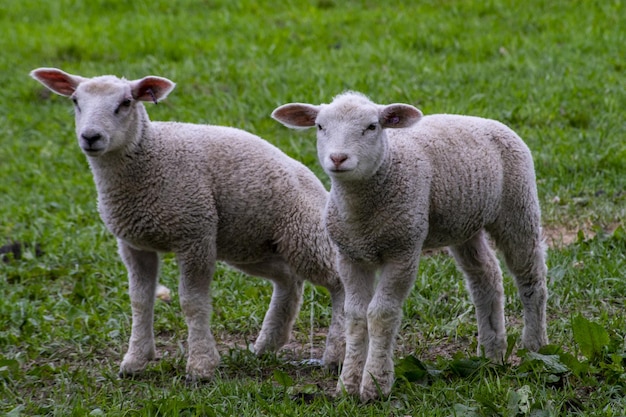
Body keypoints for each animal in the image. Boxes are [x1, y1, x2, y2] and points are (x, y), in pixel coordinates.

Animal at [30, 67, 346, 380]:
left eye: (126, 103)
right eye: (75, 101)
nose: (90, 137)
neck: (151, 158)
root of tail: (314, 181)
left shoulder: (195, 234)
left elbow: (192, 302)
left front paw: (201, 366)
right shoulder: (134, 244)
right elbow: (139, 300)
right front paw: (135, 360)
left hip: (304, 235)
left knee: (338, 283)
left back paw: (336, 354)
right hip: (250, 245)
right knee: (288, 279)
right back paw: (267, 345)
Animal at [270, 91, 544, 400]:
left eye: (372, 127)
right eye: (319, 126)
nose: (338, 158)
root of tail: (486, 121)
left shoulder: (402, 252)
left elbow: (380, 314)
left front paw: (375, 385)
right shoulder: (349, 257)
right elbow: (355, 316)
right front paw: (348, 385)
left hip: (518, 206)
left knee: (530, 277)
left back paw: (535, 346)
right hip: (464, 225)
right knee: (486, 276)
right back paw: (492, 352)